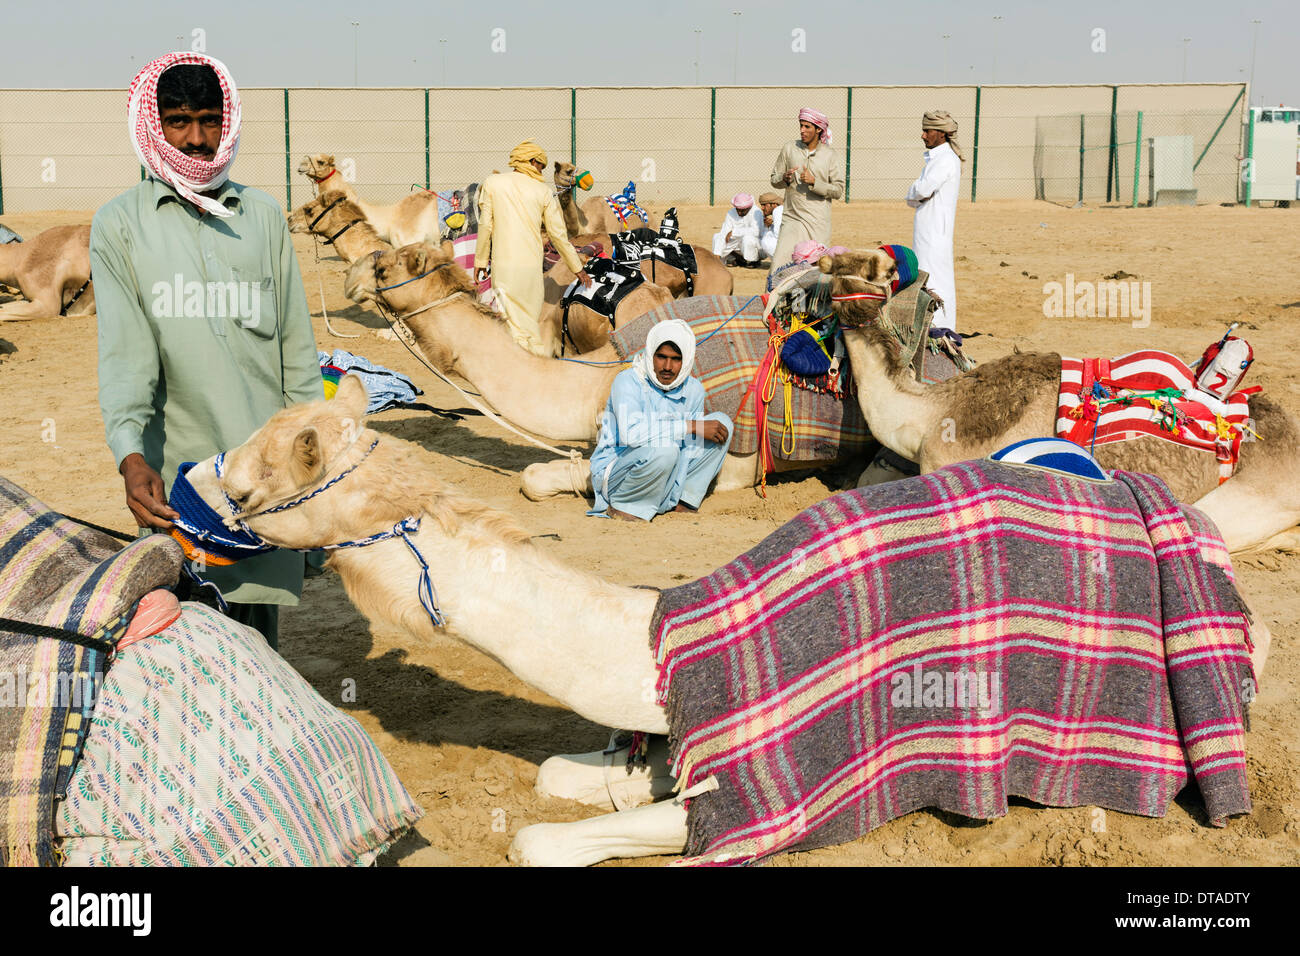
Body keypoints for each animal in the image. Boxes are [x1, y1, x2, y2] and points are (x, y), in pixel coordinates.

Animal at [185, 374, 1279, 868]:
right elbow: (559, 775)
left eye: (277, 455)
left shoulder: (769, 794)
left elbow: (540, 840)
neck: (657, 646)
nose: (199, 476)